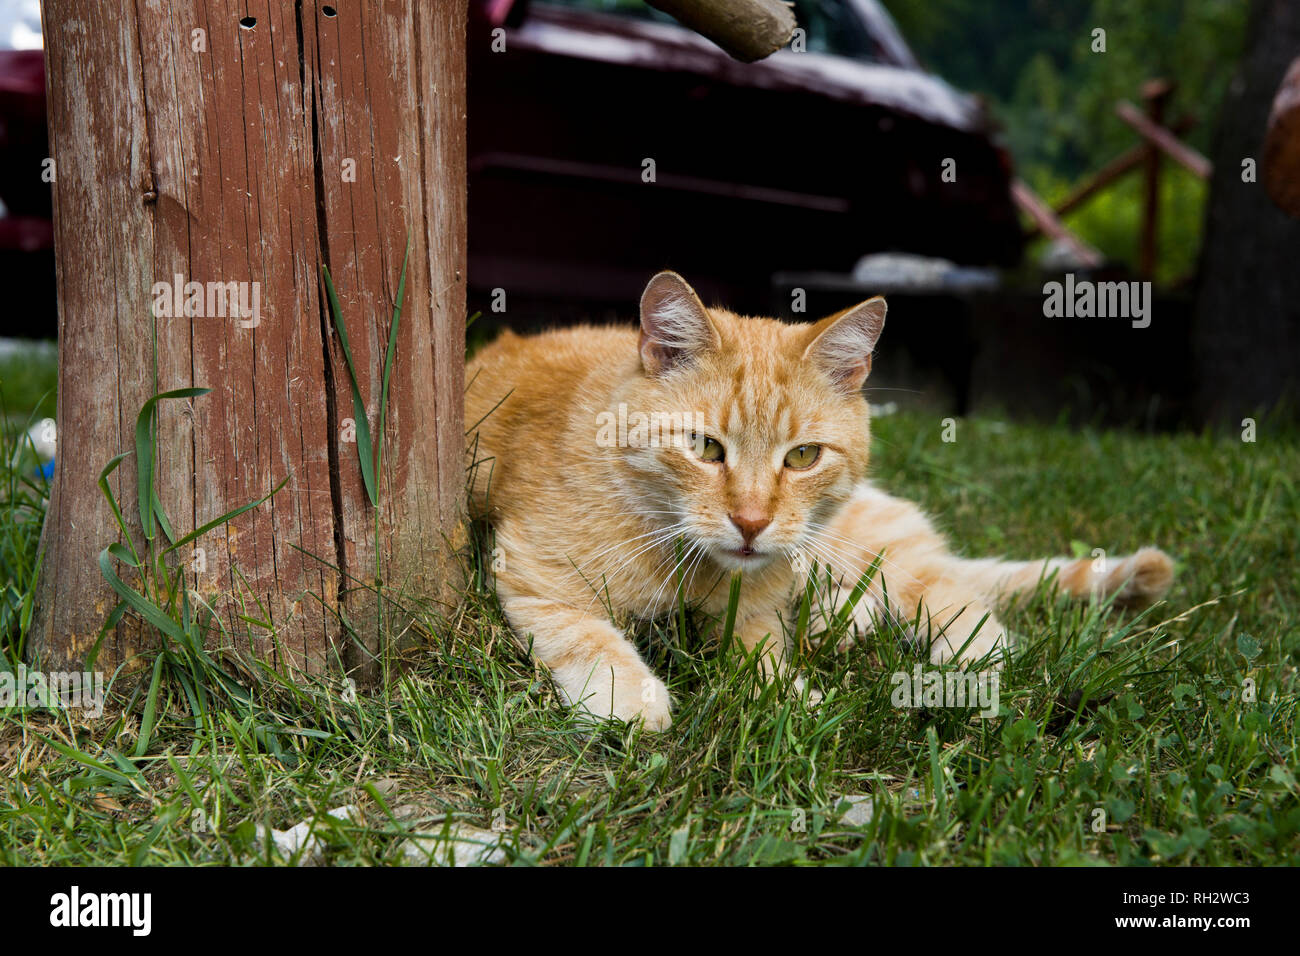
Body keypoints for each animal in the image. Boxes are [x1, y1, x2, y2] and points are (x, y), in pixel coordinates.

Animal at [470, 273, 1180, 728]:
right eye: (704, 447)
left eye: (803, 457)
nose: (751, 522)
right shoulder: (535, 573)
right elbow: (585, 634)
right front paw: (630, 694)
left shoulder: (754, 610)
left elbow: (760, 653)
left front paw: (786, 698)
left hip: (866, 547)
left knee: (953, 594)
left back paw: (968, 662)